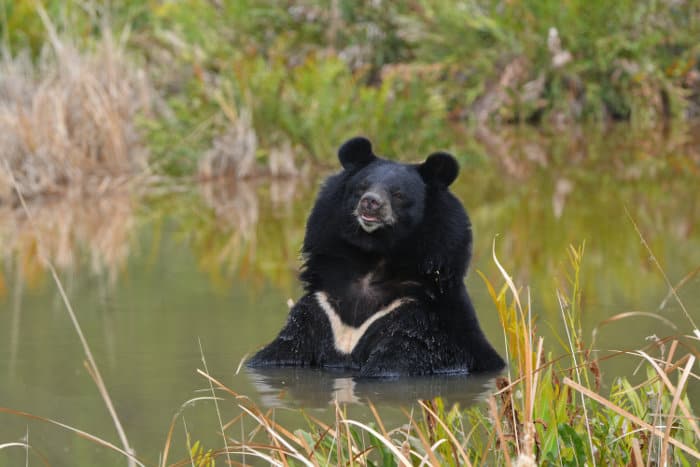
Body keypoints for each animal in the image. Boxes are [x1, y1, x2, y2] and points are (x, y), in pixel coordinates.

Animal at [246, 137, 504, 378]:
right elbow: (282, 351)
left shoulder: (418, 318)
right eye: (362, 186)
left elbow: (396, 362)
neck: (374, 256)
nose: (370, 202)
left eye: (398, 194)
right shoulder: (322, 307)